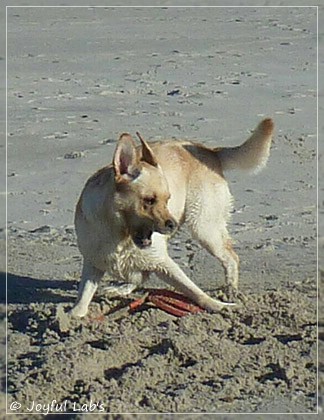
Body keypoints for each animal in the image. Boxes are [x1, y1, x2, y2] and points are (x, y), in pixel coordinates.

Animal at [70, 116, 274, 316]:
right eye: (149, 200)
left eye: (168, 199)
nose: (173, 225)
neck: (119, 234)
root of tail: (210, 151)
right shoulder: (92, 264)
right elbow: (83, 299)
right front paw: (73, 316)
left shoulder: (164, 263)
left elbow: (195, 292)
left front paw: (220, 306)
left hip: (204, 229)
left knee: (231, 258)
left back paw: (231, 291)